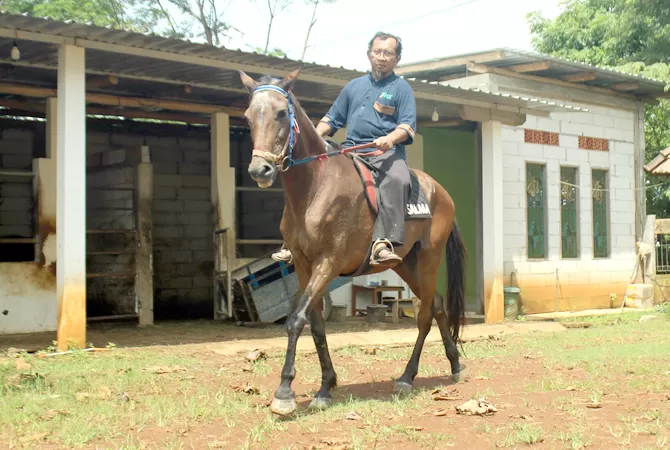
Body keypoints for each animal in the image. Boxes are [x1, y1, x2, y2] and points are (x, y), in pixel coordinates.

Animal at [240, 68, 468, 416]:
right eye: (249, 116)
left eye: (280, 113)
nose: (260, 169)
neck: (315, 187)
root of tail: (440, 192)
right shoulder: (304, 266)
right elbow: (315, 324)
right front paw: (325, 387)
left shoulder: (328, 262)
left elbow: (296, 320)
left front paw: (284, 392)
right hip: (405, 264)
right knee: (439, 304)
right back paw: (454, 365)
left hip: (430, 257)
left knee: (425, 314)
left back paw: (407, 376)